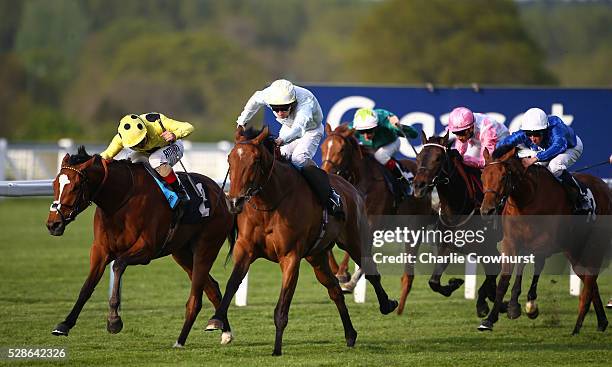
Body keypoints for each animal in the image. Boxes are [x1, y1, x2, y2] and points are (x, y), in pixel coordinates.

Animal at [45, 146, 235, 348]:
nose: (53, 224)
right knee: (212, 288)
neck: (120, 200)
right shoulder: (100, 251)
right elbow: (87, 287)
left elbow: (118, 265)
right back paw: (224, 330)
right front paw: (64, 324)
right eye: (54, 184)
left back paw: (180, 340)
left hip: (206, 246)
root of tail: (221, 193)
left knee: (195, 299)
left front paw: (114, 321)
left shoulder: (146, 250)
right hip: (182, 253)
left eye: (74, 187)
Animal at [204, 127, 396, 356]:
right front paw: (216, 320)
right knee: (334, 290)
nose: (234, 201)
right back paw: (350, 334)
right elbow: (232, 284)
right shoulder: (245, 251)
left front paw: (277, 349)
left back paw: (386, 304)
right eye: (230, 159)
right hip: (317, 256)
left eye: (255, 160)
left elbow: (282, 306)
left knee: (371, 273)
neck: (269, 205)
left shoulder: (290, 257)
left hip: (355, 240)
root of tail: (352, 188)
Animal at [320, 123, 436, 314]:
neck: (362, 182)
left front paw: (344, 275)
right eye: (323, 147)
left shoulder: (370, 222)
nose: (325, 172)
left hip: (414, 228)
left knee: (408, 271)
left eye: (342, 149)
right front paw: (340, 272)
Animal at [412, 133, 502, 320]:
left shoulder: (487, 247)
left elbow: (493, 271)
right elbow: (433, 282)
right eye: (418, 157)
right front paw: (454, 283)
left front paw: (483, 304)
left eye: (438, 158)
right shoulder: (446, 246)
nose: (418, 186)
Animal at [478, 146, 612, 334]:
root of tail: (605, 187)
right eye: (482, 176)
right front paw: (490, 319)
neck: (527, 199)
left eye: (503, 176)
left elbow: (531, 263)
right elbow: (504, 280)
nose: (487, 210)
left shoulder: (545, 243)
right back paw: (601, 321)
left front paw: (523, 305)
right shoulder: (510, 242)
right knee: (588, 279)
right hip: (574, 251)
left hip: (594, 245)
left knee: (590, 278)